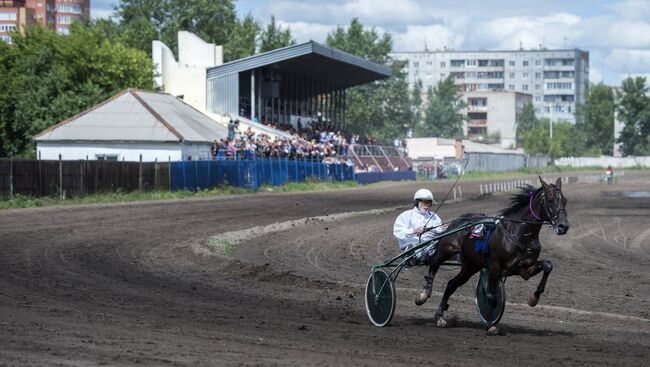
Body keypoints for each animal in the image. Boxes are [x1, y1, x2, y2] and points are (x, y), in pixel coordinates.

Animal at [416, 177, 568, 334]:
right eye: (550, 199)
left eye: (565, 200)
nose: (563, 226)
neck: (518, 234)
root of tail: (458, 220)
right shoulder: (494, 267)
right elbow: (491, 296)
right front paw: (490, 324)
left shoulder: (524, 270)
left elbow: (548, 265)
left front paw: (534, 298)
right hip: (448, 249)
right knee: (434, 263)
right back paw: (424, 293)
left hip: (471, 266)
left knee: (451, 284)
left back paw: (439, 317)